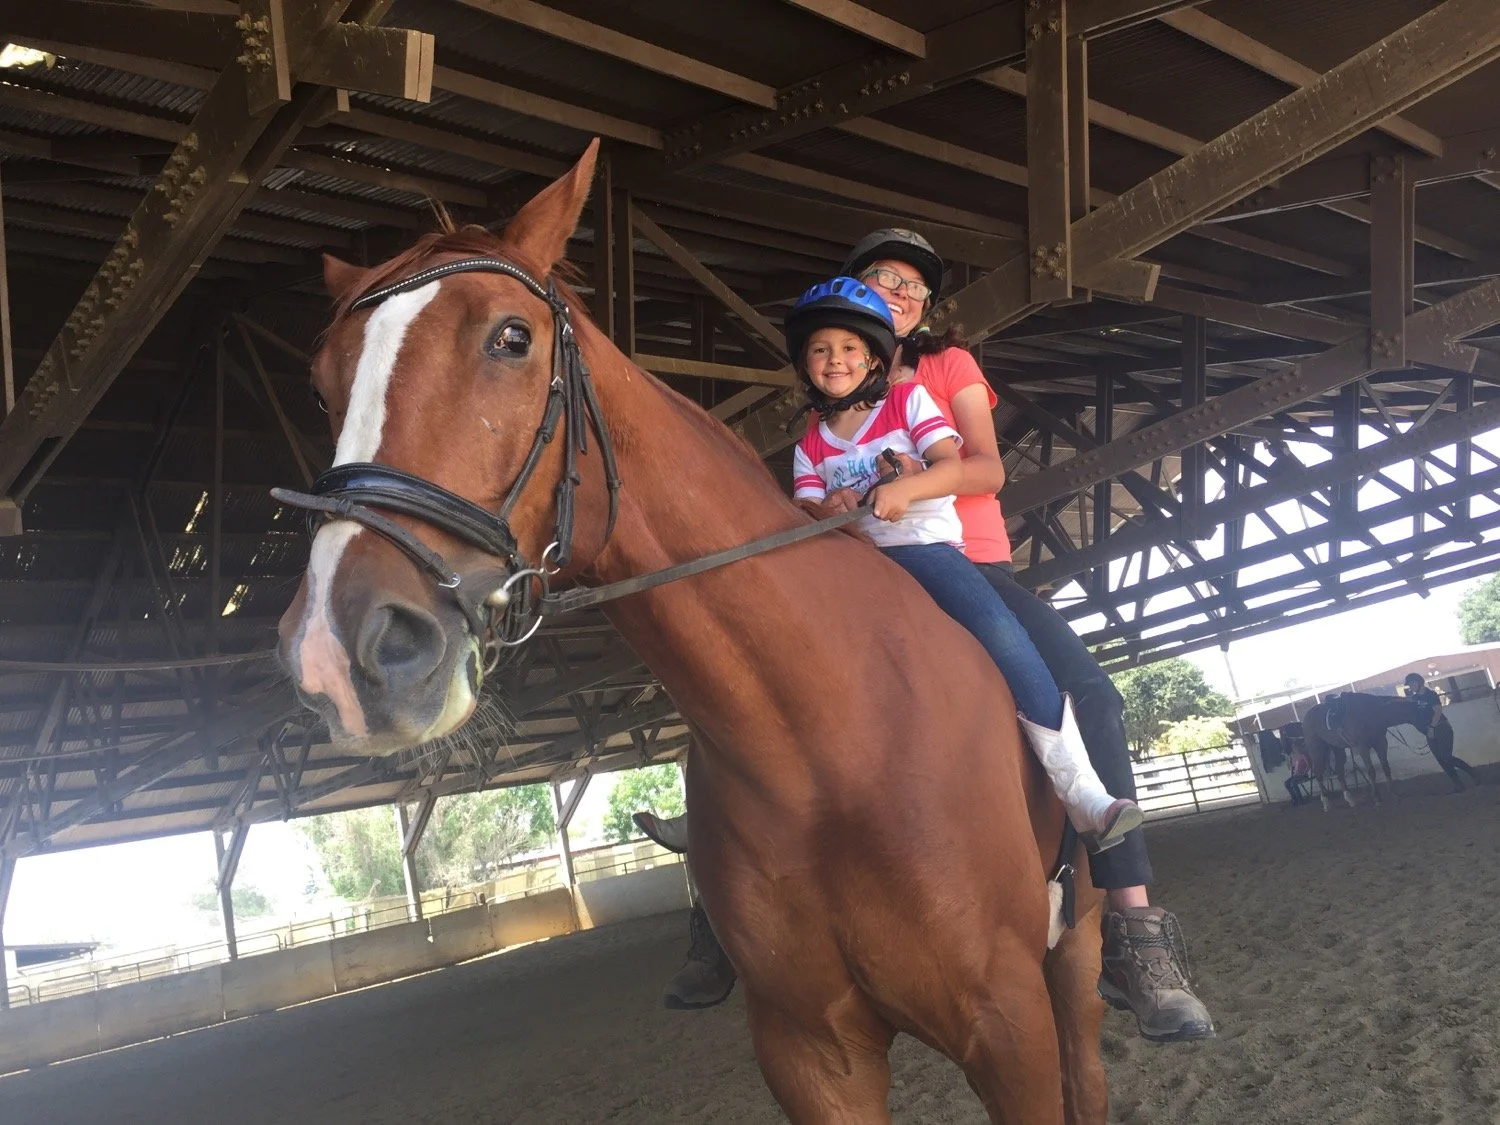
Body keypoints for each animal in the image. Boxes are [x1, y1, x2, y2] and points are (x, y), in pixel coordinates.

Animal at [273, 141, 1108, 1124]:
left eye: (511, 338)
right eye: (322, 382)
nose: (338, 652)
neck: (827, 742)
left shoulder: (1007, 1025)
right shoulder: (812, 1055)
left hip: (1075, 953)